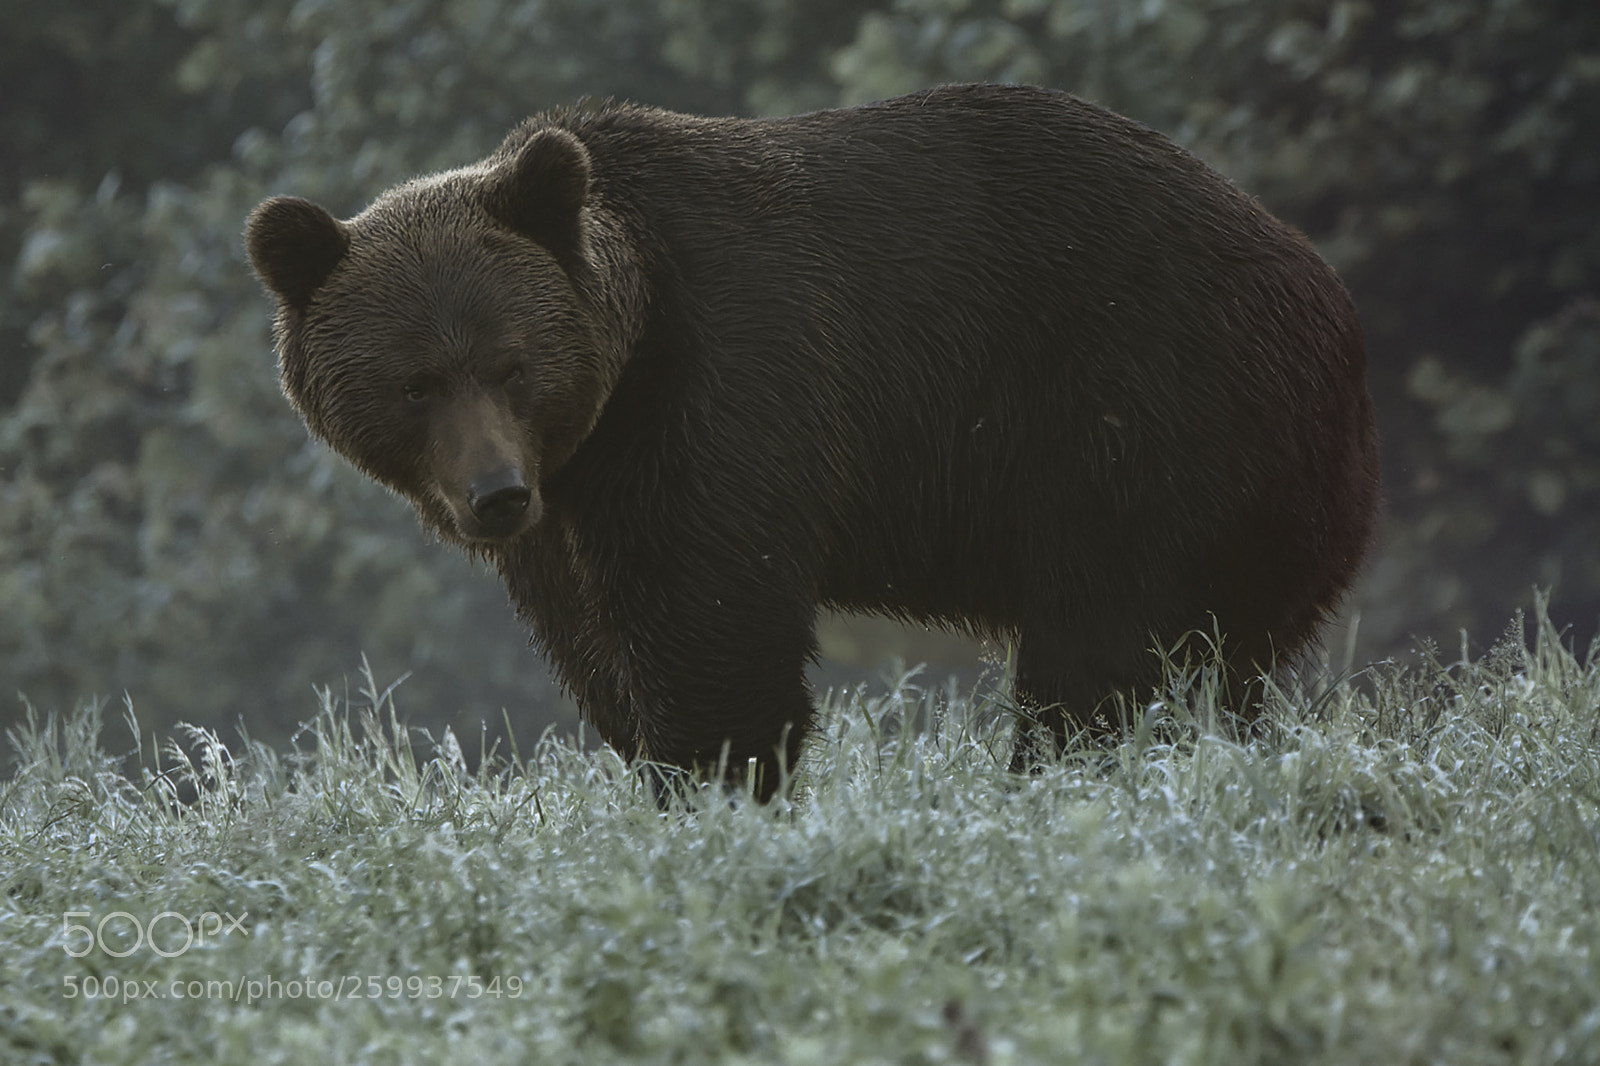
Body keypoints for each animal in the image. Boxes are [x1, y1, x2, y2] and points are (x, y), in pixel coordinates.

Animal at [246, 83, 1380, 801]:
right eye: (415, 383)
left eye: (511, 364)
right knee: (1215, 654)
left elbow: (710, 618)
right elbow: (593, 643)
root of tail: (1329, 300)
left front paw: (721, 780)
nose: (494, 494)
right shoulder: (573, 503)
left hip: (1145, 410)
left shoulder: (731, 385)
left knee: (1107, 643)